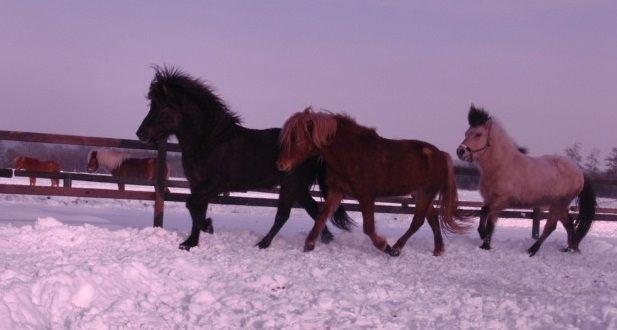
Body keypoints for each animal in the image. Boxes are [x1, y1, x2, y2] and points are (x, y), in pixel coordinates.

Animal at [137, 66, 354, 250]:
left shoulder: (216, 184)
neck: (210, 141)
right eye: (151, 104)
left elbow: (192, 204)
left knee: (284, 215)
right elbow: (197, 208)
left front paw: (208, 227)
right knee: (314, 210)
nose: (141, 134)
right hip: (298, 188)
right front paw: (190, 243)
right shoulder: (197, 183)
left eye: (163, 107)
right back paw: (321, 240)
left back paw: (263, 244)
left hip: (291, 185)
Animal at [276, 107, 466, 256]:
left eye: (297, 139)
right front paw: (309, 244)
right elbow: (322, 216)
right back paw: (438, 249)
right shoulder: (337, 192)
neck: (352, 154)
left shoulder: (366, 196)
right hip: (419, 194)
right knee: (432, 218)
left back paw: (396, 248)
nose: (281, 165)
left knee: (418, 221)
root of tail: (441, 154)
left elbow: (368, 227)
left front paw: (384, 246)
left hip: (426, 192)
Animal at [454, 105, 596, 255]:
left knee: (551, 226)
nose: (460, 151)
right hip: (559, 205)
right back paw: (570, 248)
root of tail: (579, 173)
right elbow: (489, 221)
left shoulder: (503, 200)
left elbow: (484, 211)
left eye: (478, 134)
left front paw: (482, 235)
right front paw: (484, 245)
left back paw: (532, 250)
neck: (502, 166)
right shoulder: (491, 200)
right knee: (568, 223)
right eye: (466, 133)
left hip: (559, 204)